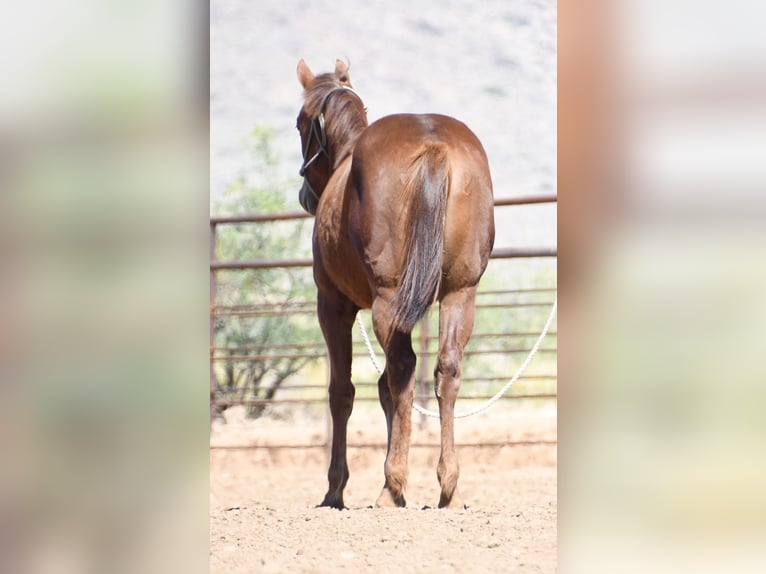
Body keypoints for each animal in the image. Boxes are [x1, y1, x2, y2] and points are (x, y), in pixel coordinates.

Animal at [295, 59, 495, 509]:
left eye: (299, 122)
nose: (304, 194)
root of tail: (433, 144)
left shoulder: (332, 304)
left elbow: (342, 392)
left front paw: (335, 488)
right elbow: (385, 391)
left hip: (388, 300)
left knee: (403, 369)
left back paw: (392, 485)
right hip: (459, 295)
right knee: (445, 370)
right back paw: (448, 487)